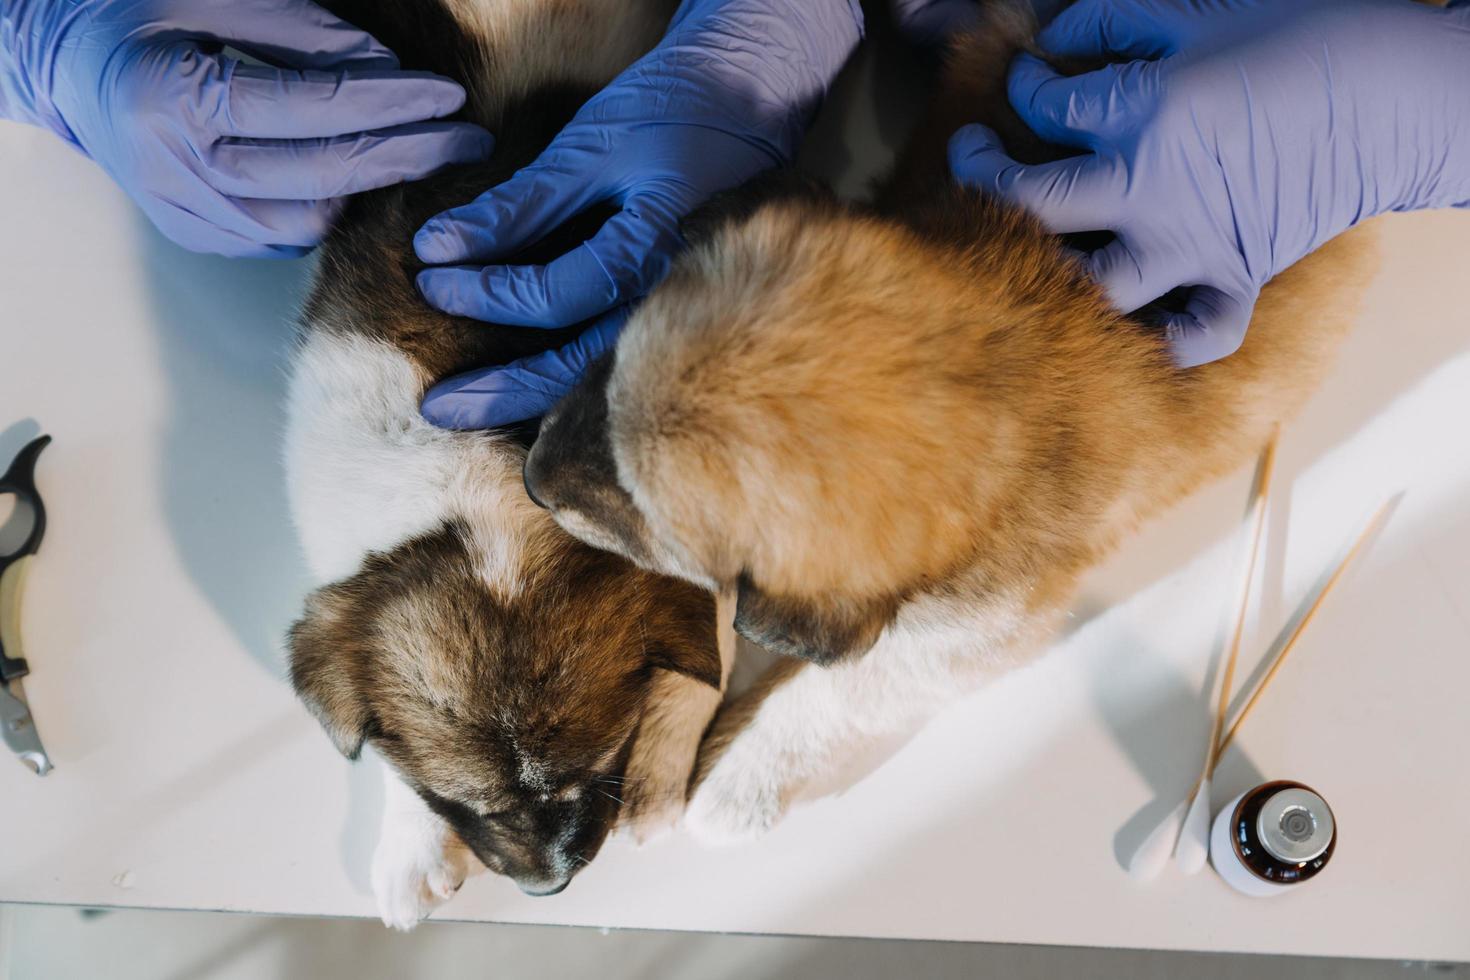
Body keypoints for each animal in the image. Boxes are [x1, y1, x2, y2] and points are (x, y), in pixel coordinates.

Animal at [280, 0, 729, 928]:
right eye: (467, 803)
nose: (545, 887)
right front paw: (410, 844)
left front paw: (663, 763)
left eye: (596, 769)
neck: (475, 476)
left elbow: (703, 660)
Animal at [523, 1, 1381, 846]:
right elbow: (711, 628)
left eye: (636, 506)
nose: (531, 475)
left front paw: (739, 780)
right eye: (604, 372)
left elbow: (836, 690)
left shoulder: (978, 627)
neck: (1010, 351)